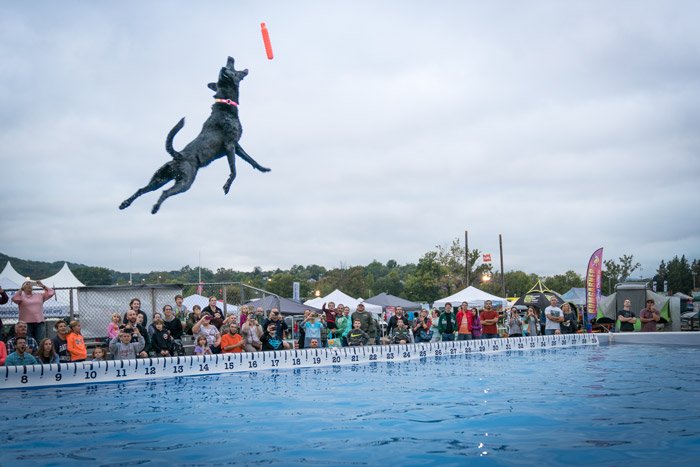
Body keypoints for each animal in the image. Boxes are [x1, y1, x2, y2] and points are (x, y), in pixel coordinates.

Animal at [119, 56, 270, 214]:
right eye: (231, 67)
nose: (230, 58)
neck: (225, 104)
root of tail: (178, 155)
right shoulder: (230, 146)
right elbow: (234, 170)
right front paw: (227, 186)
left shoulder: (237, 146)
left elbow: (251, 160)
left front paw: (264, 169)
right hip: (185, 182)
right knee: (165, 193)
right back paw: (155, 208)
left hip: (160, 179)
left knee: (142, 189)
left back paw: (125, 204)